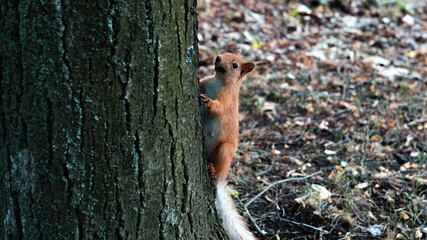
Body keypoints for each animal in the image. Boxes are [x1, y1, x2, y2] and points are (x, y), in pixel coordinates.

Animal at [201, 49, 258, 240]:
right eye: (226, 52)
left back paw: (213, 170)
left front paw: (209, 102)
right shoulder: (205, 82)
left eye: (235, 65)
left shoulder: (227, 100)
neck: (219, 81)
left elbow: (219, 109)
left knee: (219, 170)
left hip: (225, 150)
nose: (218, 57)